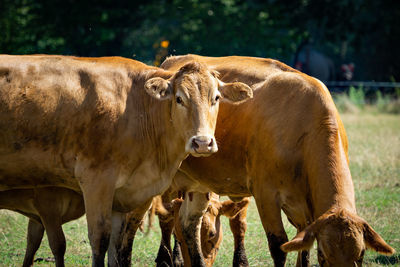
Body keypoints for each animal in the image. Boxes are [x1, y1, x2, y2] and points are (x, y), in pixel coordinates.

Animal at [0, 55, 252, 266]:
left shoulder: (130, 196)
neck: (138, 110)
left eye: (216, 98)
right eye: (179, 99)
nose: (202, 142)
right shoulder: (96, 182)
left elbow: (119, 245)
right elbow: (100, 240)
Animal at [161, 55, 396, 267]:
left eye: (361, 255)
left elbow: (303, 246)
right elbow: (279, 246)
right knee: (168, 220)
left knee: (188, 223)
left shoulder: (304, 210)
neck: (305, 126)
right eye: (323, 256)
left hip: (198, 186)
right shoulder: (266, 196)